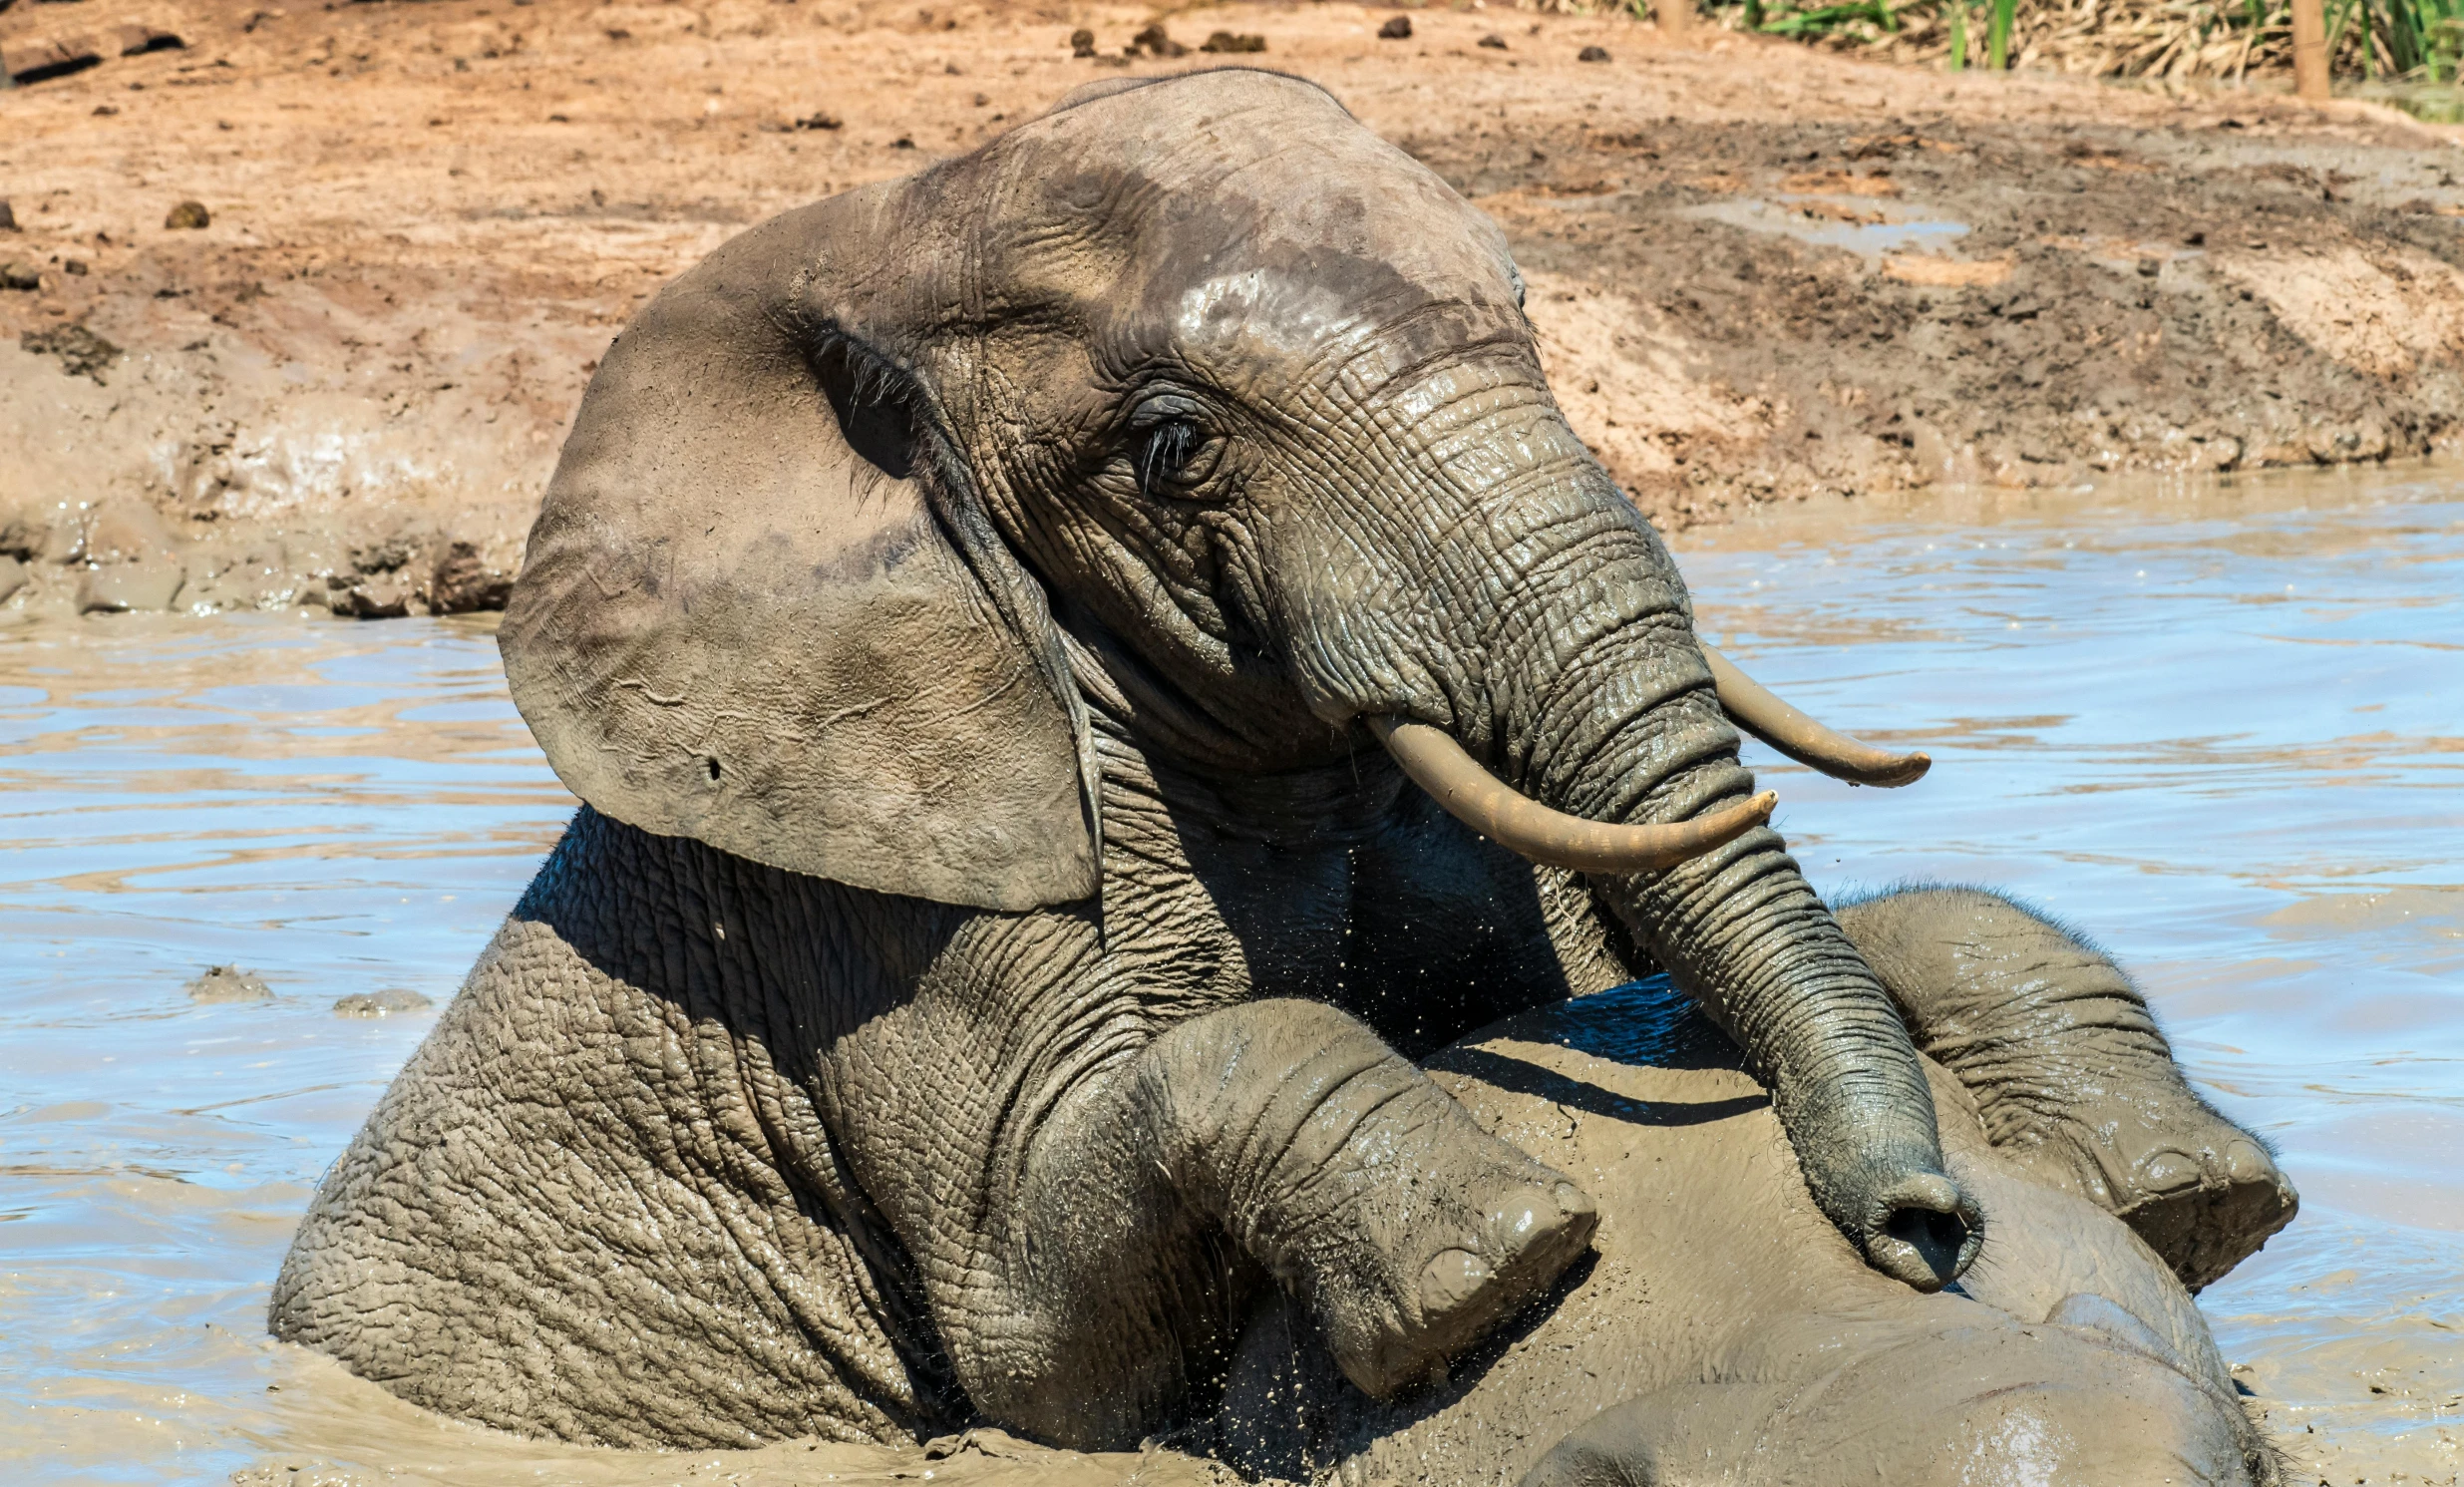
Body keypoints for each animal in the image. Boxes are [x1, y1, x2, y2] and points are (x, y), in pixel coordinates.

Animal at [264, 69, 2287, 1479]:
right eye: (1173, 448)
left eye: (1530, 339)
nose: (1918, 1227)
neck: (872, 238)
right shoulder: (869, 918)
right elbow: (1044, 1333)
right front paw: (1497, 1258)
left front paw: (2191, 1190)